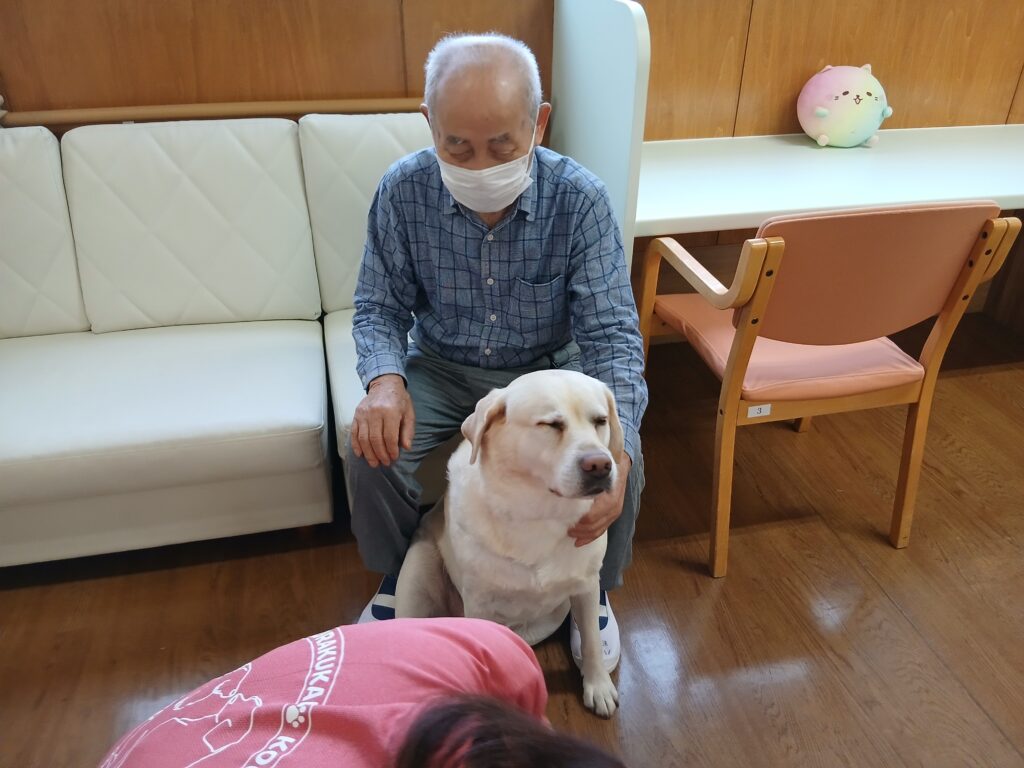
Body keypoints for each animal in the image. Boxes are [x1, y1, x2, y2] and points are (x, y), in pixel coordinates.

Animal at [394, 368, 622, 717]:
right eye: (550, 424)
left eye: (600, 421)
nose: (600, 465)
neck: (538, 515)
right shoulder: (479, 603)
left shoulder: (586, 586)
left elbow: (593, 641)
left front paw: (598, 686)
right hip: (415, 583)